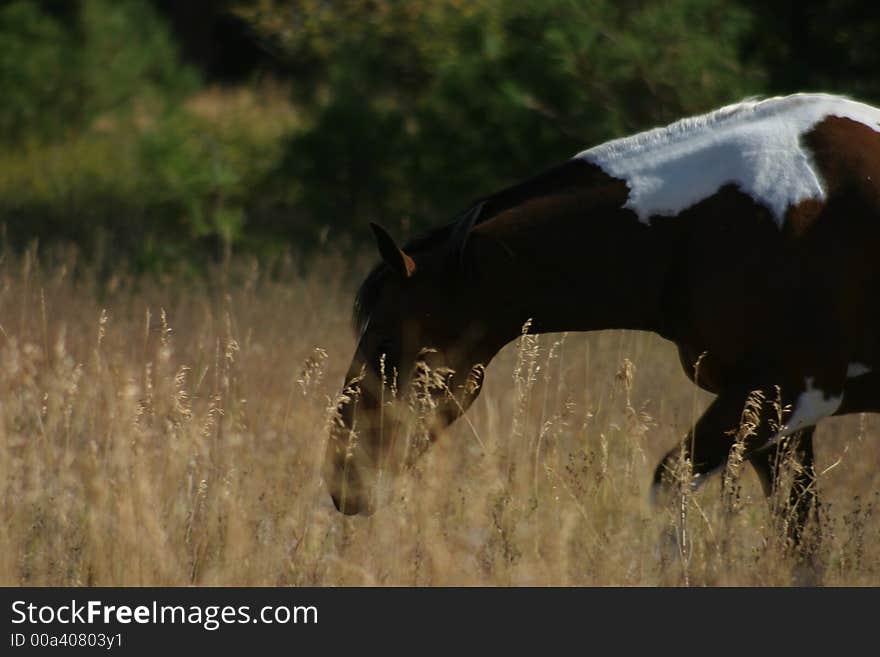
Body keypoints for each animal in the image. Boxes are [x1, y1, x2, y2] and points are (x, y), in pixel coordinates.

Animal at [324, 92, 880, 552]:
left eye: (390, 341)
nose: (343, 477)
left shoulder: (792, 390)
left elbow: (671, 484)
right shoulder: (777, 416)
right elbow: (799, 542)